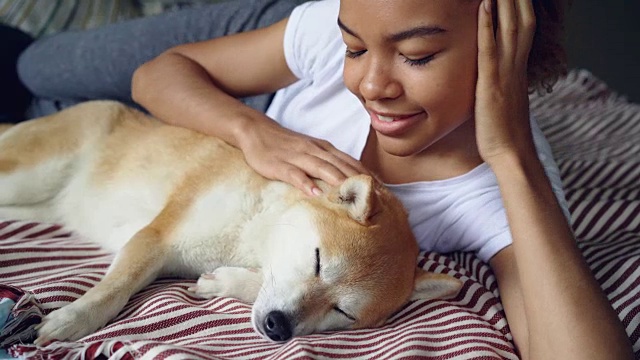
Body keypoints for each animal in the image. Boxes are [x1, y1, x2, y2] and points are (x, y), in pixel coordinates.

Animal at [0, 100, 462, 344]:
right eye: (317, 261)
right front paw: (72, 319)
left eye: (343, 312)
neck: (251, 230)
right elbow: (114, 290)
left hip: (34, 205)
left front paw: (224, 283)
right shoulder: (154, 238)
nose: (278, 326)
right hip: (28, 175)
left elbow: (256, 284)